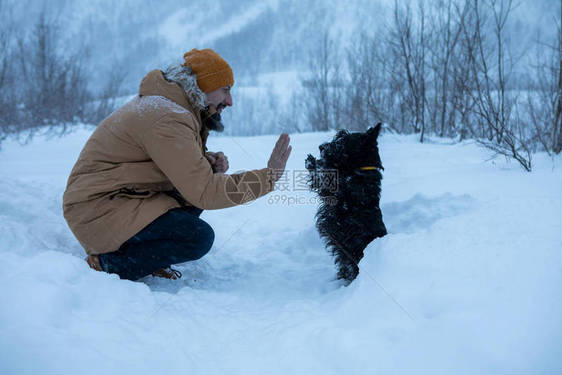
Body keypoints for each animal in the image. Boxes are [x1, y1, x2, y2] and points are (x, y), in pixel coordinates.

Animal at [304, 123, 388, 284]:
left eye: (341, 143)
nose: (321, 147)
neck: (360, 169)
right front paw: (314, 161)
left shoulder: (341, 192)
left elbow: (327, 178)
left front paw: (313, 162)